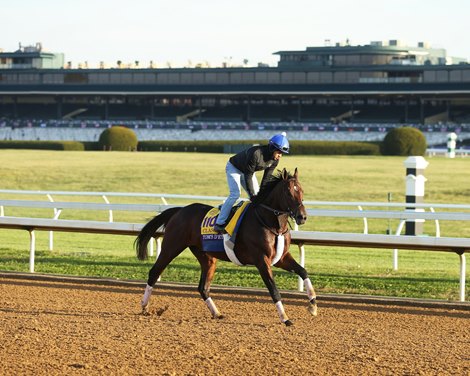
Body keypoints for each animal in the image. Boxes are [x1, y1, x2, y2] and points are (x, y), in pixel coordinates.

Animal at [136, 168, 320, 326]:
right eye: (289, 192)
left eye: (302, 191)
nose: (302, 217)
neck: (271, 224)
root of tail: (179, 210)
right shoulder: (262, 260)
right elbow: (273, 289)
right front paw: (285, 318)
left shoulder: (281, 257)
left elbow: (303, 271)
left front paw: (312, 305)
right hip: (171, 247)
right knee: (154, 273)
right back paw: (145, 307)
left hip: (207, 257)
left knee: (203, 287)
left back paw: (216, 313)